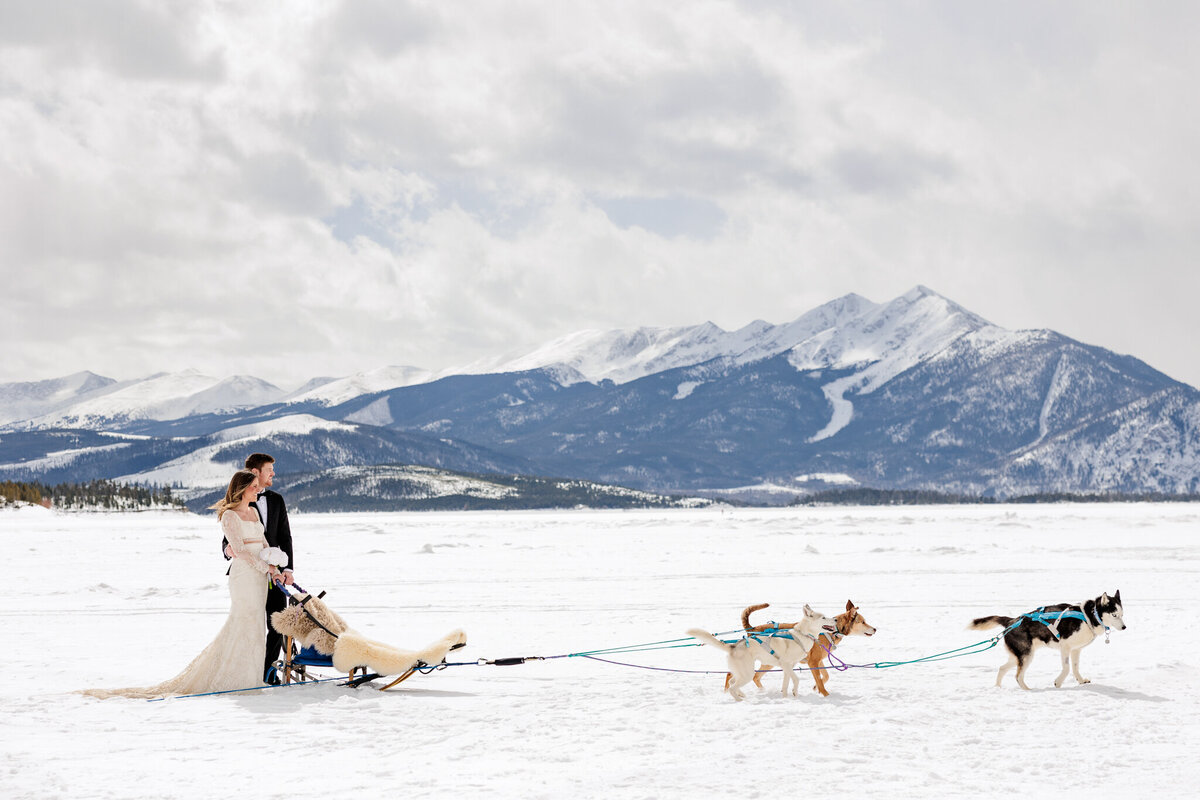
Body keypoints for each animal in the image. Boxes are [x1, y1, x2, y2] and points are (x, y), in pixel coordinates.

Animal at [691, 606, 840, 700]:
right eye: (823, 617)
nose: (835, 619)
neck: (801, 636)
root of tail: (733, 646)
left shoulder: (788, 668)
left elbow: (785, 684)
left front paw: (786, 698)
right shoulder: (786, 664)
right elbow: (796, 680)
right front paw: (794, 692)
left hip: (743, 672)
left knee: (732, 681)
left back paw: (741, 695)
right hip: (748, 673)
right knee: (733, 687)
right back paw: (740, 700)